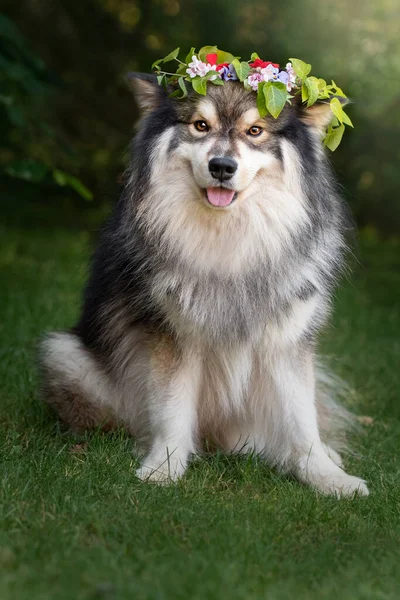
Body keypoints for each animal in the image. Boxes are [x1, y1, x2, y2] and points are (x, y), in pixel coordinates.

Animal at [40, 70, 368, 494]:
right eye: (200, 126)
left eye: (255, 130)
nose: (221, 166)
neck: (228, 238)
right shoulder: (172, 336)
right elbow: (172, 409)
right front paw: (164, 467)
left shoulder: (287, 341)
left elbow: (301, 419)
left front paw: (325, 476)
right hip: (64, 354)